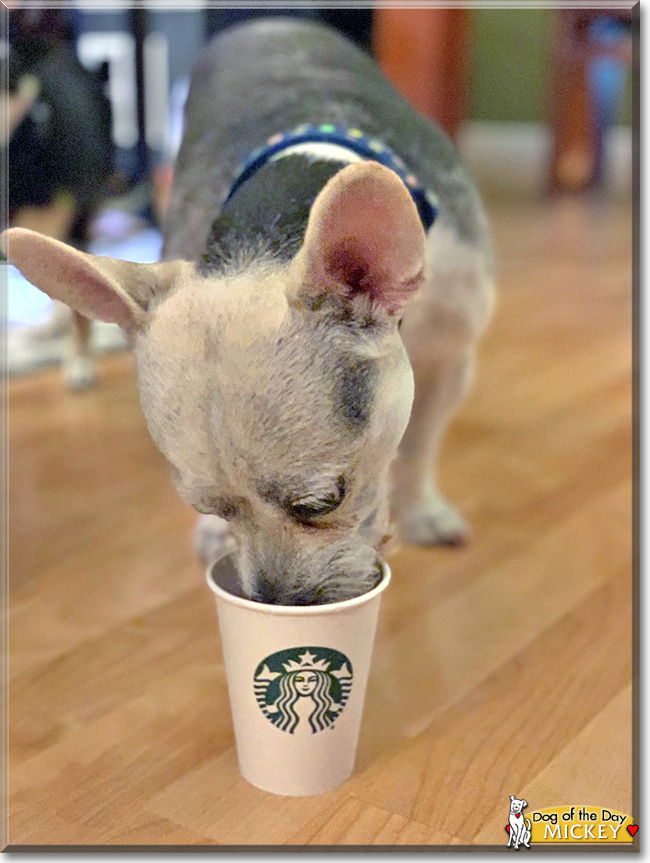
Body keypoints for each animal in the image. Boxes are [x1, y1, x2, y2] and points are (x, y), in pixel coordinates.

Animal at [3, 18, 492, 600]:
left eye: (323, 502)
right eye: (208, 506)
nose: (279, 602)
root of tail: (265, 22)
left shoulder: (451, 355)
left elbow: (418, 442)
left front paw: (421, 511)